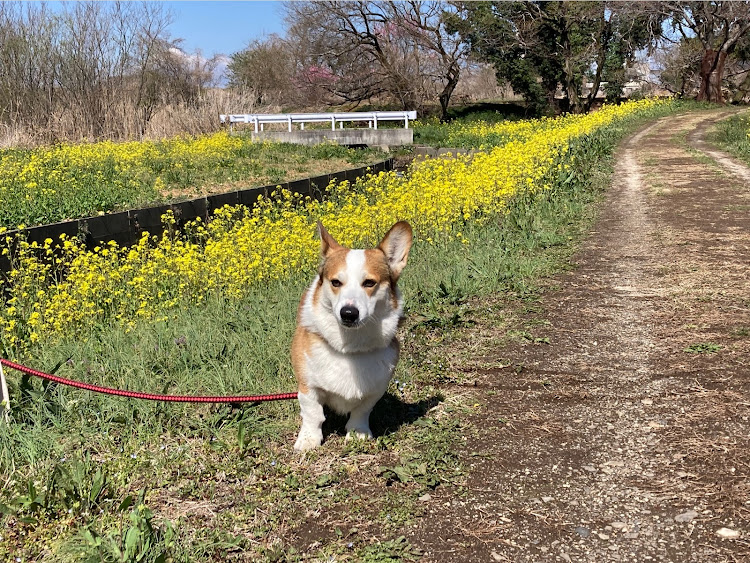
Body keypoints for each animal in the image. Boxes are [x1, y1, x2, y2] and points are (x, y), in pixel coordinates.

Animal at [292, 221, 414, 454]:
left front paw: (358, 433)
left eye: (369, 283)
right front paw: (309, 439)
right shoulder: (307, 385)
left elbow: (362, 410)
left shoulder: (375, 389)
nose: (348, 313)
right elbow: (313, 413)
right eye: (335, 282)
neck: (349, 347)